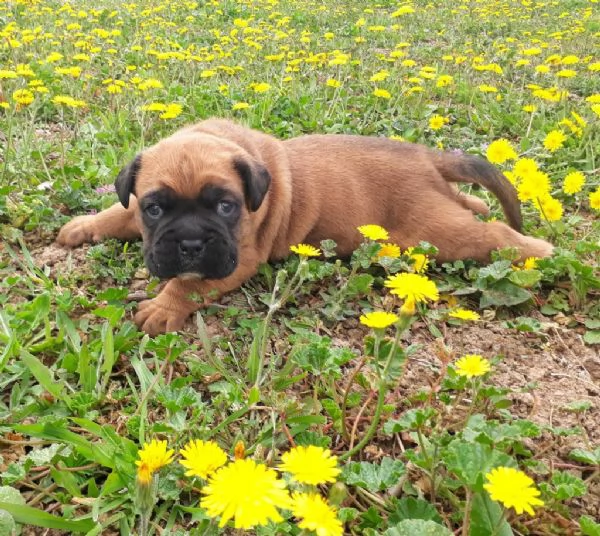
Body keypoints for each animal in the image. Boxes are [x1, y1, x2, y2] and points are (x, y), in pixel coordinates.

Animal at [57, 119, 552, 332]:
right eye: (156, 209)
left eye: (226, 207)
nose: (193, 244)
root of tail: (426, 157)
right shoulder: (137, 205)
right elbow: (117, 212)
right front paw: (82, 225)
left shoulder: (240, 258)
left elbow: (190, 284)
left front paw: (163, 306)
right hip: (440, 208)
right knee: (470, 202)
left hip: (434, 232)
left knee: (493, 236)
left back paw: (538, 249)